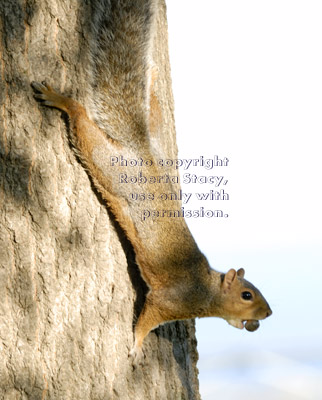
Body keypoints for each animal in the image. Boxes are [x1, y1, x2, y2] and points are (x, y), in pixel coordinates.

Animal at [31, 0, 272, 362]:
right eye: (247, 295)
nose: (269, 313)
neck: (205, 290)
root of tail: (142, 148)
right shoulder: (166, 301)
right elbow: (146, 320)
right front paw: (136, 344)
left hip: (151, 133)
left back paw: (154, 78)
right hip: (108, 165)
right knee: (82, 123)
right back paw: (62, 101)